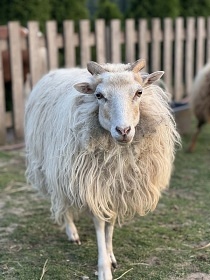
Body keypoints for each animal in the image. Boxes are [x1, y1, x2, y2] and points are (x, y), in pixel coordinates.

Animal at [24, 58, 180, 278]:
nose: (123, 130)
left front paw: (111, 255)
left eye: (139, 92)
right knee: (63, 202)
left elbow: (111, 222)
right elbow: (99, 224)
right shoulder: (93, 183)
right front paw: (104, 267)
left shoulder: (115, 186)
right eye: (99, 95)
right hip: (54, 168)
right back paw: (72, 232)